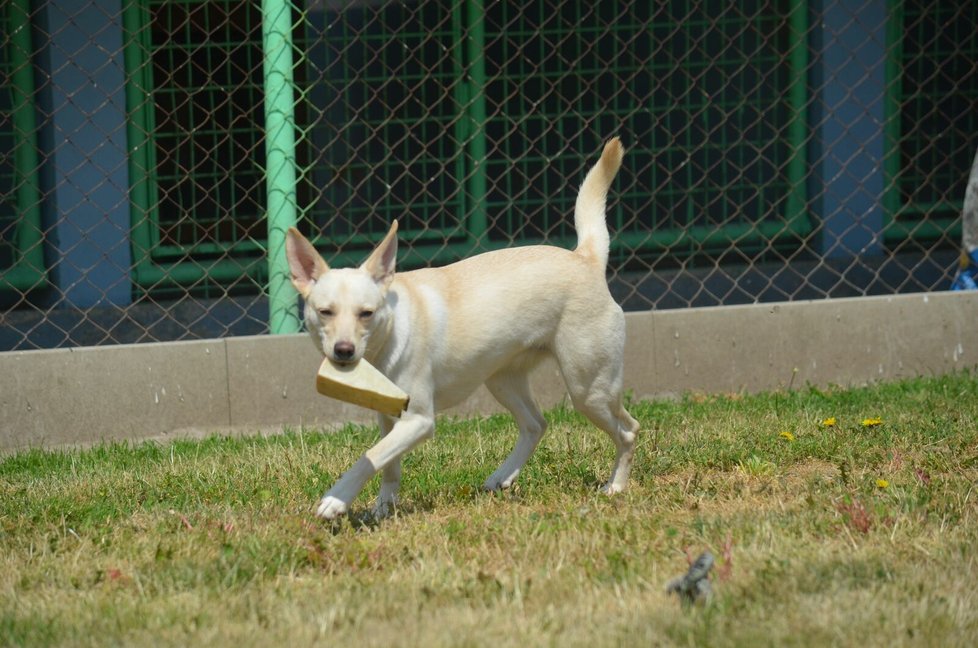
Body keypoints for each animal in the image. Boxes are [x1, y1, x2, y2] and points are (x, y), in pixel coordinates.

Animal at [286, 138, 636, 520]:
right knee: (536, 424)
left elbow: (371, 457)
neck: (390, 334)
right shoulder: (389, 417)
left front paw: (337, 498)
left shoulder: (419, 420)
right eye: (325, 312)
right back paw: (502, 476)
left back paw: (616, 486)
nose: (344, 351)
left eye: (366, 313)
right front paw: (382, 509)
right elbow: (389, 466)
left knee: (627, 431)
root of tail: (585, 257)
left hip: (589, 389)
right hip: (502, 380)